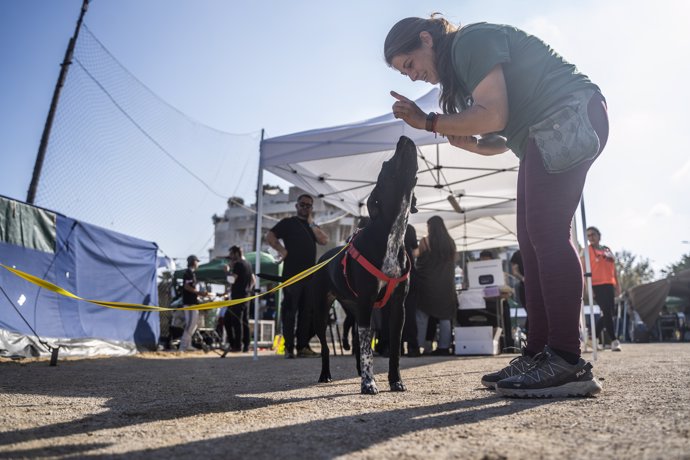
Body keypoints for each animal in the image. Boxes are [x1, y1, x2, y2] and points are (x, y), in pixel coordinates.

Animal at [310, 135, 416, 394]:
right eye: (386, 164)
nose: (403, 138)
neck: (392, 234)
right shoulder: (367, 301)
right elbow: (368, 350)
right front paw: (369, 383)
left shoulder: (398, 308)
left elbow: (394, 349)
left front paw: (395, 380)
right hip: (322, 312)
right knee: (327, 347)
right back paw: (326, 375)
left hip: (355, 310)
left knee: (358, 342)